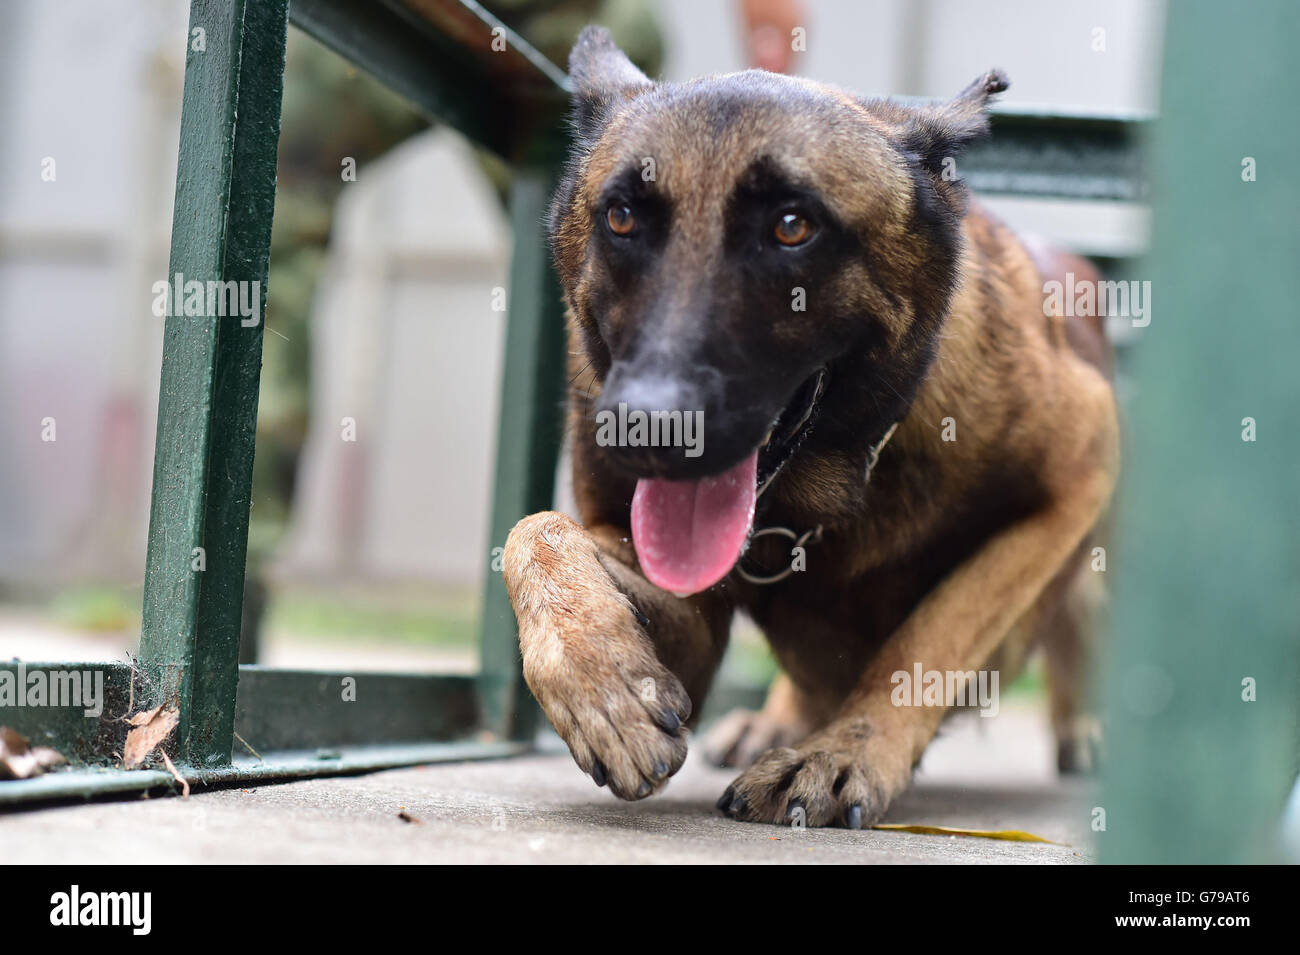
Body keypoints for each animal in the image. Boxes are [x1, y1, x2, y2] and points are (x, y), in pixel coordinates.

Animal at [496, 26, 1118, 826]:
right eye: (622, 217)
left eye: (792, 227)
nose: (647, 429)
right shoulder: (690, 624)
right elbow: (536, 533)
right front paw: (603, 687)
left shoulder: (1078, 470)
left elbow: (934, 634)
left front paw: (848, 753)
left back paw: (1083, 729)